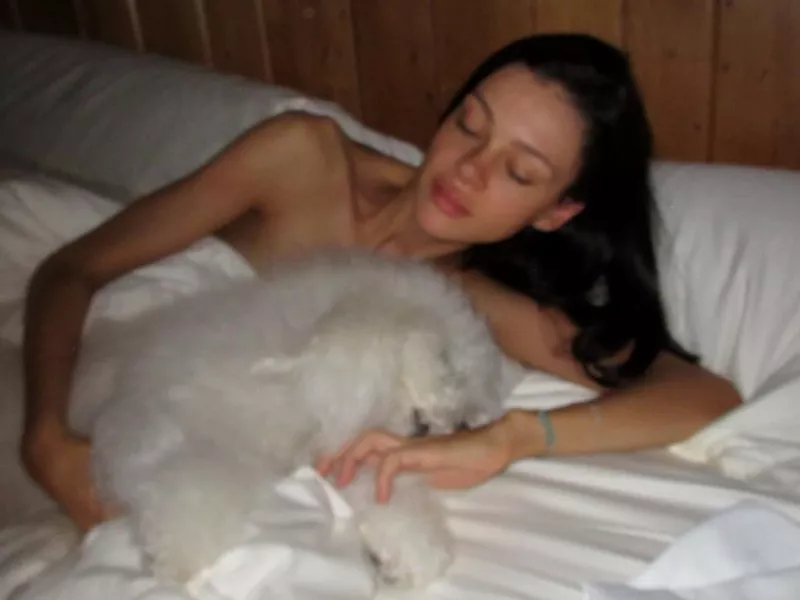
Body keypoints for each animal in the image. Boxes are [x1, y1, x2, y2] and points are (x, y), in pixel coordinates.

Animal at [71, 251, 521, 589]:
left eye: (470, 411)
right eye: (446, 361)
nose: (456, 425)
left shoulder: (349, 454)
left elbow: (396, 503)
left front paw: (408, 560)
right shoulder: (187, 433)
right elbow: (193, 488)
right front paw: (179, 564)